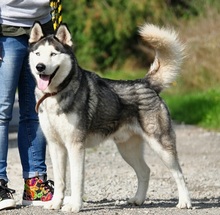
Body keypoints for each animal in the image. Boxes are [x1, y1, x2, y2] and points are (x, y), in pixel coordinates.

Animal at [28, 22, 192, 212]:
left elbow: (76, 180)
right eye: (38, 54)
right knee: (145, 171)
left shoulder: (75, 146)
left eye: (53, 54)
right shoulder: (55, 145)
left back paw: (185, 202)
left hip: (161, 146)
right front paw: (55, 203)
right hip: (127, 149)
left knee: (179, 173)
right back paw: (138, 199)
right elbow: (61, 180)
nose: (40, 67)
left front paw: (74, 206)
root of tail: (145, 83)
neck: (54, 94)